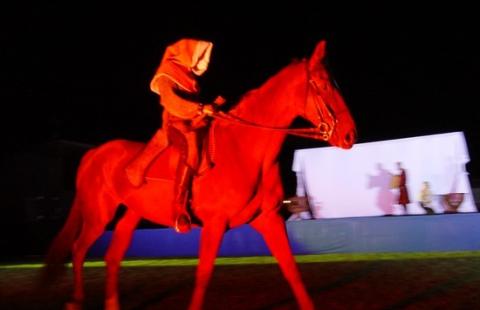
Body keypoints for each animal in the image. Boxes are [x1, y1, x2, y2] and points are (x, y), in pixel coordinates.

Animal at [44, 40, 356, 308]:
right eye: (324, 85)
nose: (349, 135)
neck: (243, 149)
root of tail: (94, 153)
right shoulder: (215, 225)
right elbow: (203, 277)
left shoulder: (268, 220)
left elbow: (292, 271)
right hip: (98, 215)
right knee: (79, 249)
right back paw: (75, 301)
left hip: (130, 214)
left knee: (112, 257)